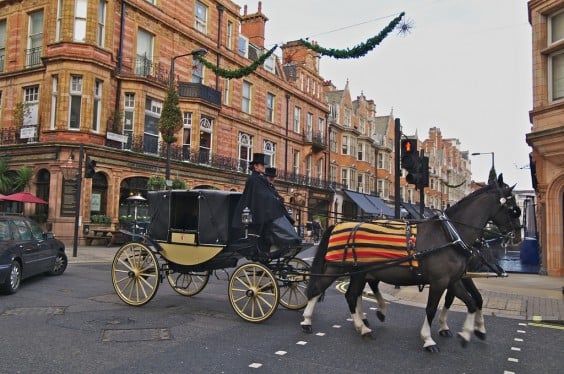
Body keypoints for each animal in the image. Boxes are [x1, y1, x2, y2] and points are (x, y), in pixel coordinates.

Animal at [302, 174, 524, 352]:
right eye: (514, 209)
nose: (517, 236)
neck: (450, 234)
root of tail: (340, 224)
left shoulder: (454, 279)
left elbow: (471, 301)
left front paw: (468, 332)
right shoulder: (440, 280)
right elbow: (432, 308)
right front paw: (429, 339)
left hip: (359, 272)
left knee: (352, 294)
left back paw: (365, 323)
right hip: (337, 267)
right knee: (320, 289)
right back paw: (308, 321)